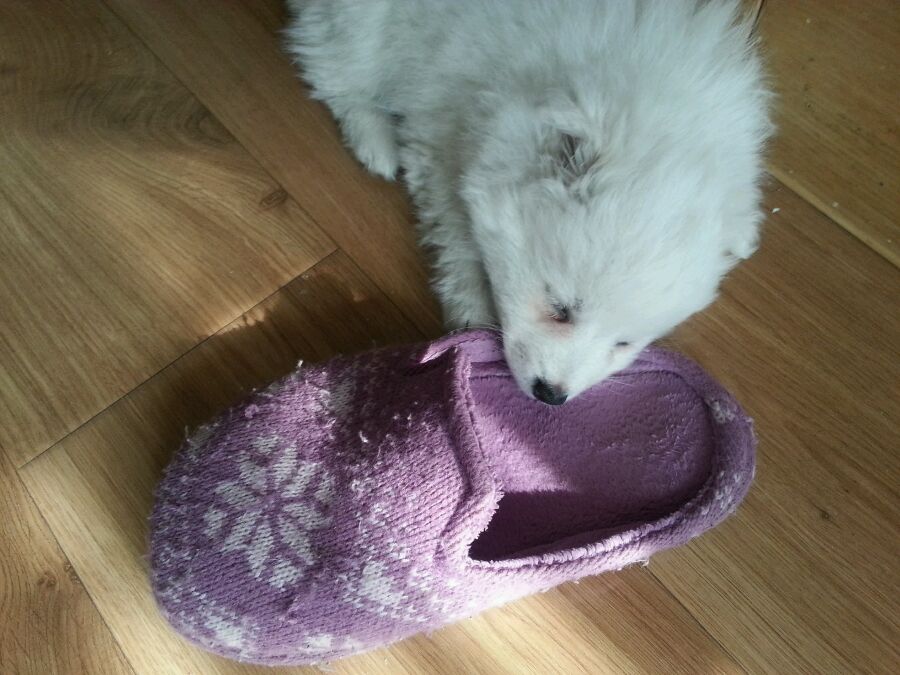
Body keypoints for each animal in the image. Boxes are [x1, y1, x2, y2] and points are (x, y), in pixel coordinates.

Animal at [286, 0, 772, 404]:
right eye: (560, 310)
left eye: (623, 343)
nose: (551, 395)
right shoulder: (441, 127)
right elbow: (456, 236)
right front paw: (469, 312)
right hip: (362, 23)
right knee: (334, 68)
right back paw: (373, 139)